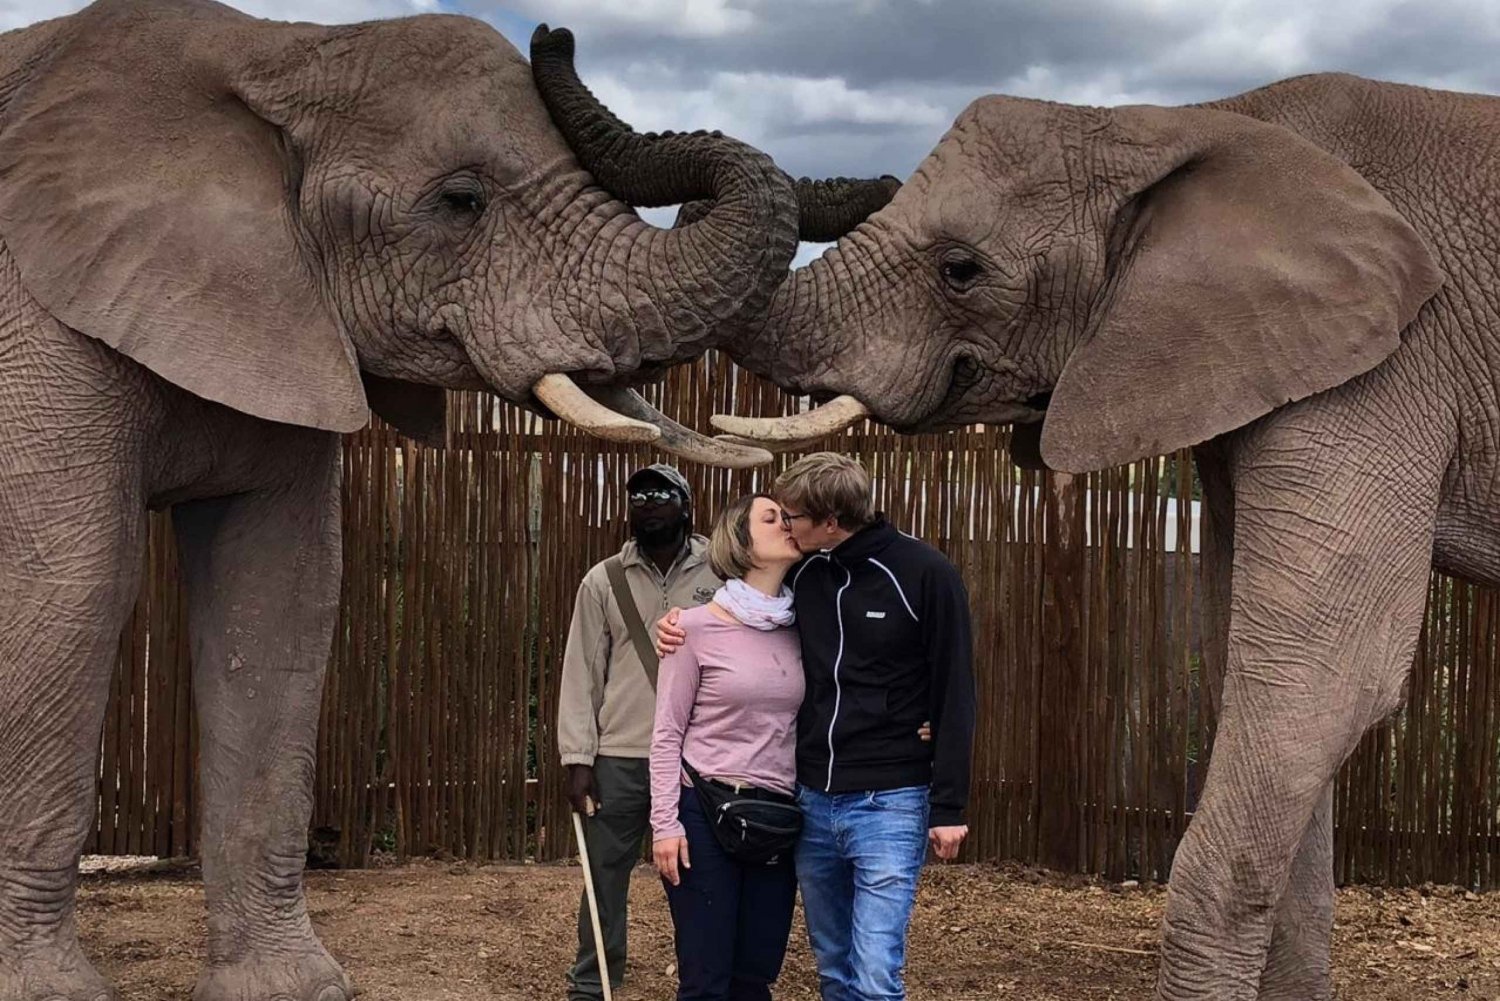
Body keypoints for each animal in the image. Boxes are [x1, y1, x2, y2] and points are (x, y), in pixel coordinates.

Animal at [0, 1, 906, 1001]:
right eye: (462, 199)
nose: (554, 34)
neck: (278, 47)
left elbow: (279, 600)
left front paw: (292, 989)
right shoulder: (37, 322)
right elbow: (71, 590)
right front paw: (46, 992)